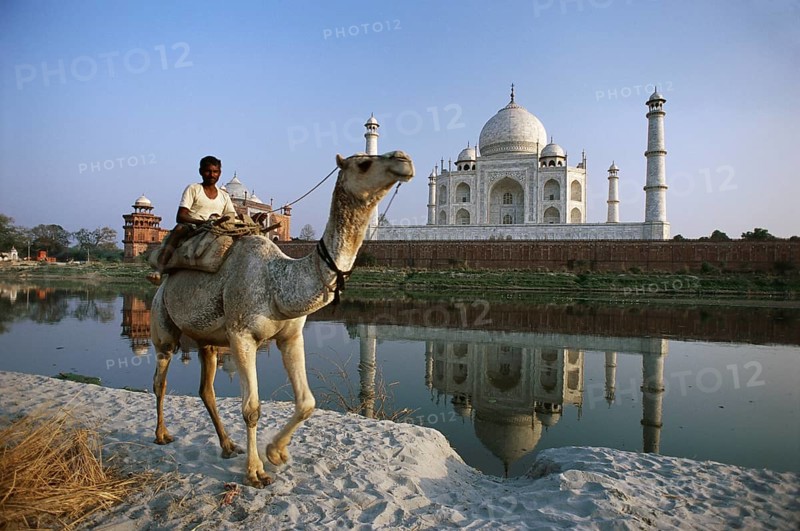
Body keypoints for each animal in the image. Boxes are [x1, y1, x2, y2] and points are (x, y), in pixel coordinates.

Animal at [149, 151, 414, 487]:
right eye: (364, 163)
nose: (403, 159)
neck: (278, 281)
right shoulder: (241, 336)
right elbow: (251, 408)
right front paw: (255, 472)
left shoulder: (290, 336)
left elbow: (307, 402)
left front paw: (276, 452)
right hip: (162, 320)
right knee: (160, 379)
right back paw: (162, 434)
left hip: (206, 340)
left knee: (206, 389)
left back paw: (227, 446)